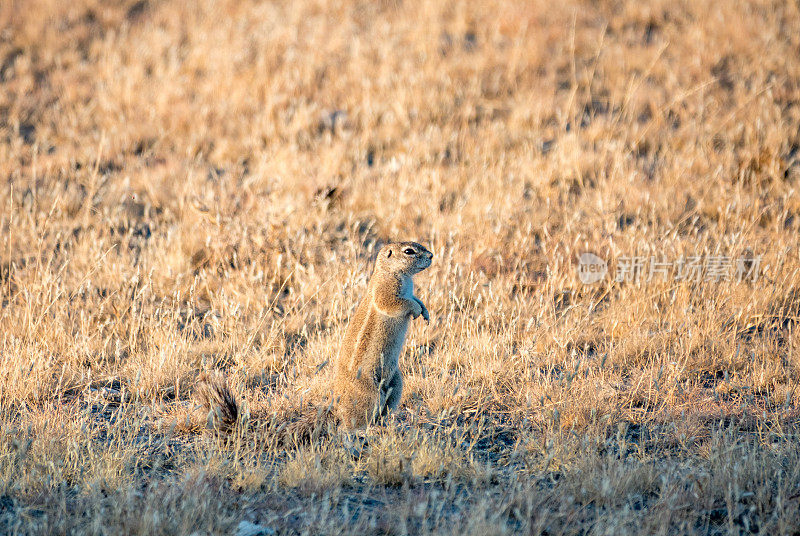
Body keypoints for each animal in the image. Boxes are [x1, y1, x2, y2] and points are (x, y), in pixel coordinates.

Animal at [332, 241, 432, 430]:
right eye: (409, 251)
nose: (431, 256)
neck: (389, 271)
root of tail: (338, 406)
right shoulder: (386, 290)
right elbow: (396, 303)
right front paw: (416, 311)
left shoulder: (411, 293)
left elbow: (416, 299)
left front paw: (425, 313)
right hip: (370, 394)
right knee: (353, 423)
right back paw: (363, 430)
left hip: (396, 384)